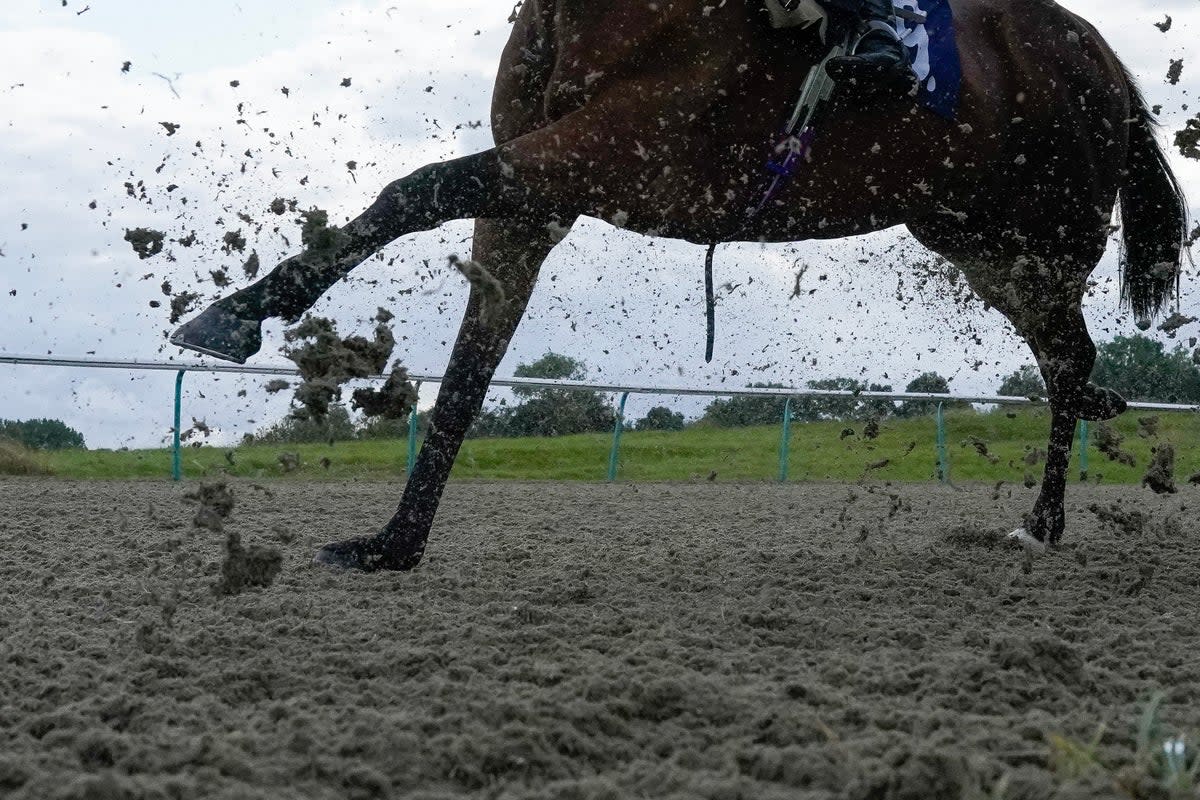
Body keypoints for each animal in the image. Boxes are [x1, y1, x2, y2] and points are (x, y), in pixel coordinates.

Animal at [171, 0, 1190, 568]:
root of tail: (1101, 54)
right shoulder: (533, 191)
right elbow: (465, 370)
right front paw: (395, 541)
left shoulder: (615, 152)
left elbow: (416, 187)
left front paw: (234, 313)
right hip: (977, 241)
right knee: (1070, 362)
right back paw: (1055, 500)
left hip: (1035, 239)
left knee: (1068, 360)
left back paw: (1047, 516)